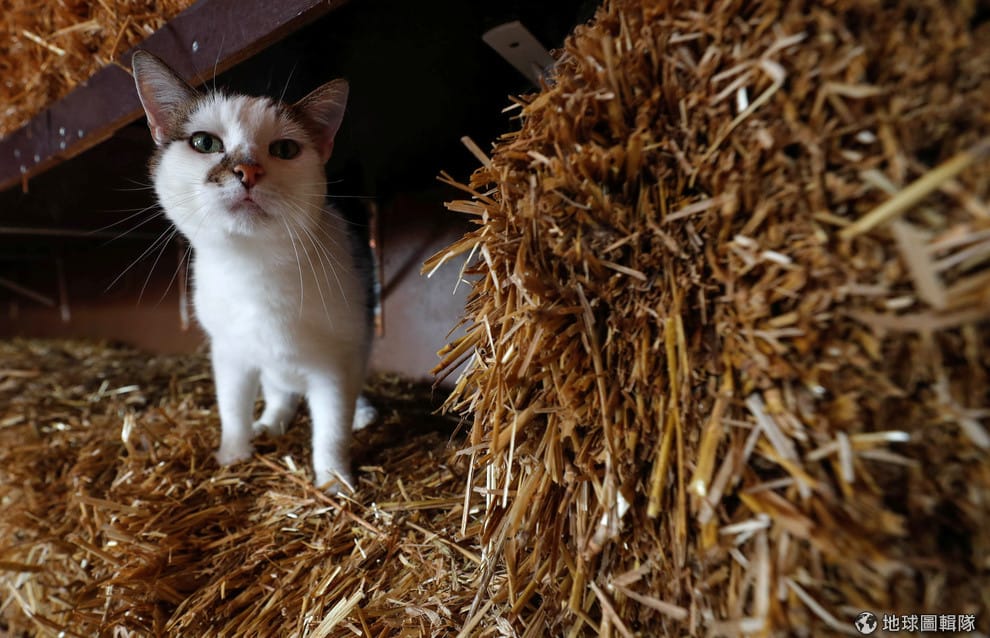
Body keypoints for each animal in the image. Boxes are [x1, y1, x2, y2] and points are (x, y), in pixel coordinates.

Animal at [131, 50, 375, 493]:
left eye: (285, 149)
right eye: (204, 143)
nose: (248, 171)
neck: (252, 267)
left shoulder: (335, 364)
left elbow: (332, 426)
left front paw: (334, 482)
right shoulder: (229, 351)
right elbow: (231, 408)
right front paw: (233, 455)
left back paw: (359, 414)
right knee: (279, 390)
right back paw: (270, 422)